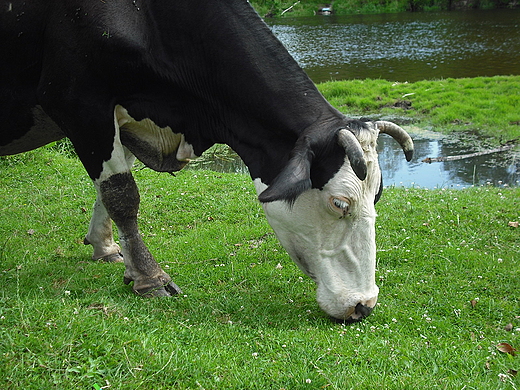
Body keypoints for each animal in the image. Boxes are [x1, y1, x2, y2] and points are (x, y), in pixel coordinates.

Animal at [1, 0, 414, 322]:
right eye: (339, 203)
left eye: (377, 195)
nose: (364, 305)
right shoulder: (78, 102)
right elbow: (122, 194)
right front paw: (150, 278)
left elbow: (109, 190)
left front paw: (106, 249)